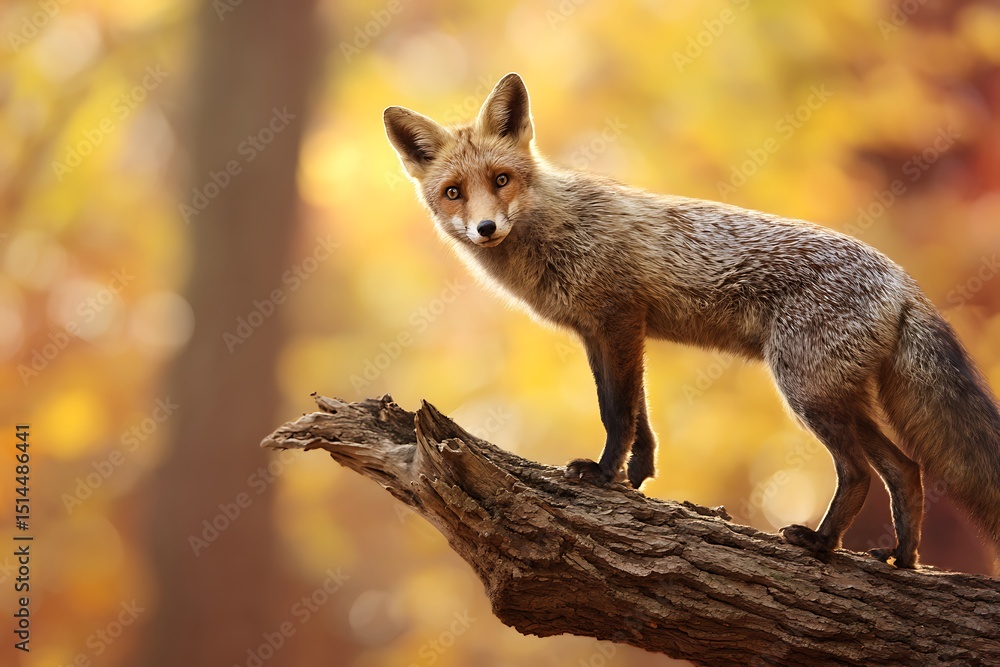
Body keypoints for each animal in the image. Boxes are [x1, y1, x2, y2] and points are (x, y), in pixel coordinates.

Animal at [383, 72, 1000, 571]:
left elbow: (617, 412)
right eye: (454, 192)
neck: (556, 230)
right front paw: (636, 475)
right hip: (840, 397)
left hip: (808, 394)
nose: (486, 228)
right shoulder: (600, 333)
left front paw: (604, 476)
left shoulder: (619, 318)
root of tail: (902, 279)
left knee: (860, 473)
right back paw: (902, 557)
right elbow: (639, 415)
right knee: (906, 470)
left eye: (502, 179)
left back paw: (822, 544)